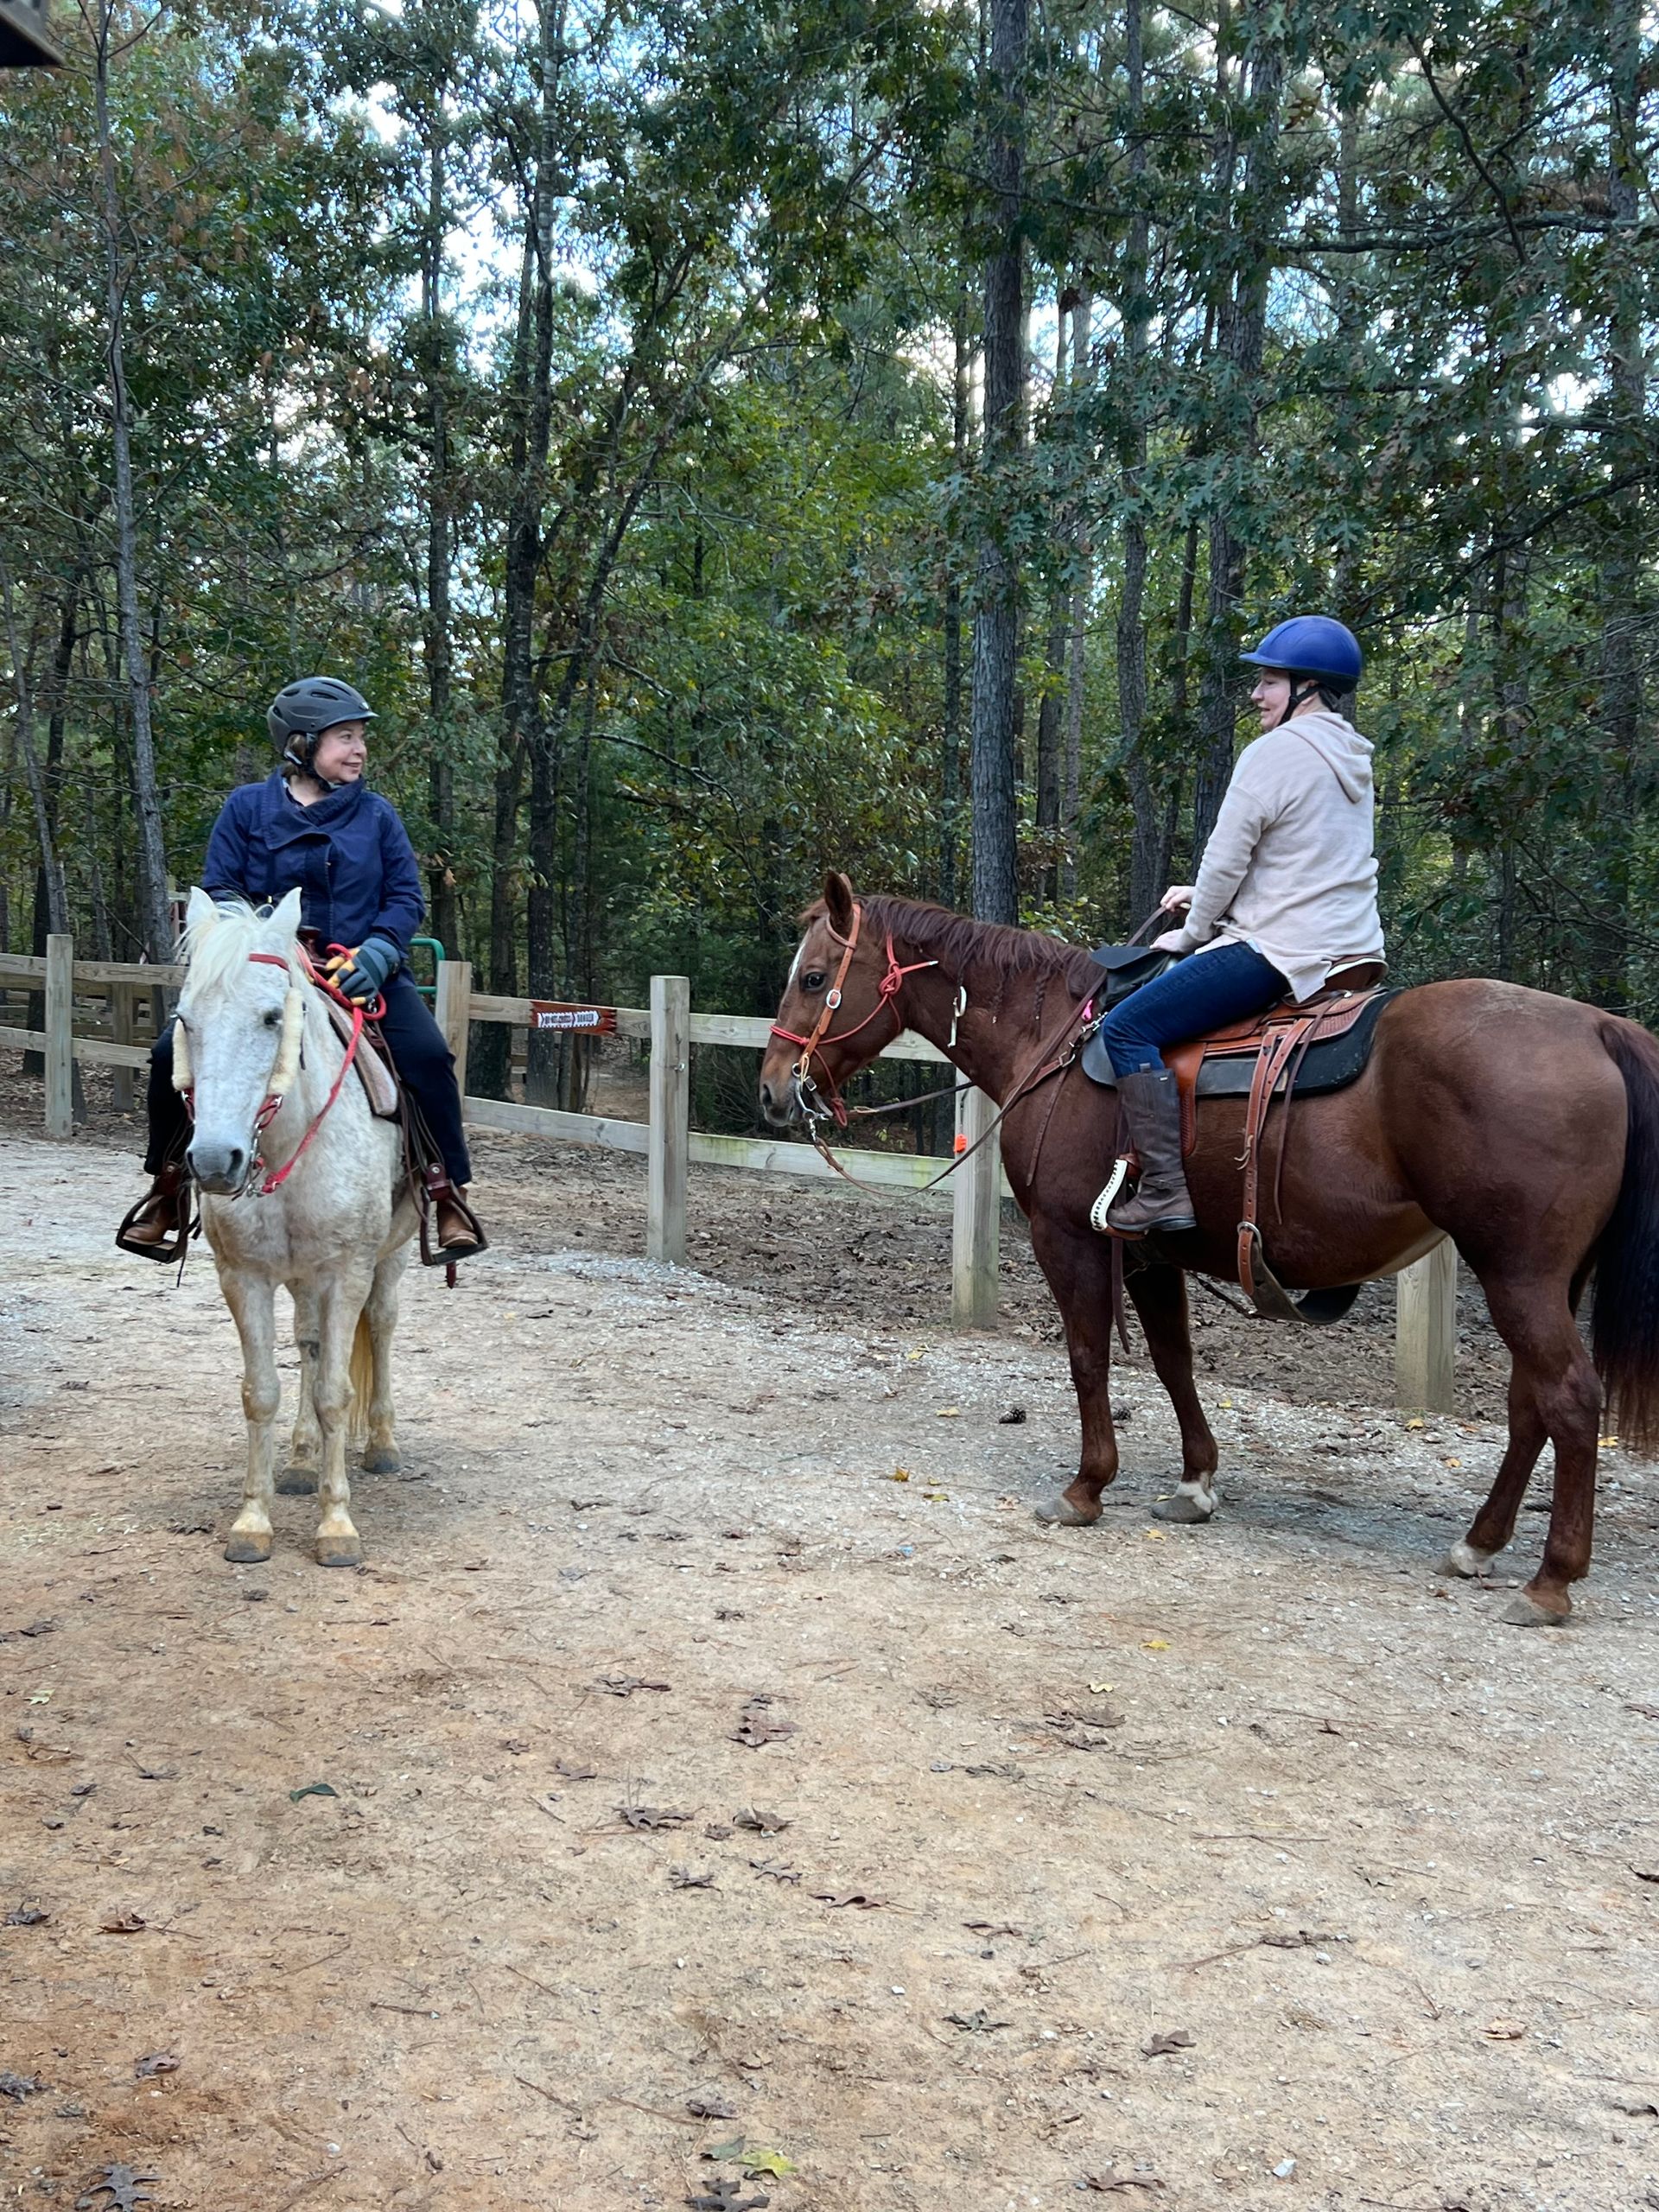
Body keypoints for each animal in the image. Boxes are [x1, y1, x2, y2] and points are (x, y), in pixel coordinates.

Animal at [176, 888, 417, 1567]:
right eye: (186, 1020)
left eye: (270, 1018)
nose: (215, 1160)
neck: (289, 1144)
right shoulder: (245, 1278)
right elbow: (262, 1392)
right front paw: (253, 1520)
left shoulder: (348, 1273)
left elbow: (336, 1392)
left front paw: (336, 1528)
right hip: (302, 1279)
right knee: (308, 1344)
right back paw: (303, 1462)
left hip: (390, 1259)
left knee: (381, 1327)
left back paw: (382, 1445)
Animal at [759, 872, 1659, 1628]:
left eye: (812, 977)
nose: (773, 1091)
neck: (1049, 1040)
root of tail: (1598, 1026)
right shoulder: (1151, 1253)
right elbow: (1171, 1361)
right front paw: (1194, 1485)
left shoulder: (1067, 1236)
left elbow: (1088, 1355)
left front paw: (1086, 1486)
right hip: (1545, 1278)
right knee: (1529, 1403)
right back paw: (1479, 1543)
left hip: (1518, 1274)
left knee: (1570, 1399)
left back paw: (1550, 1580)